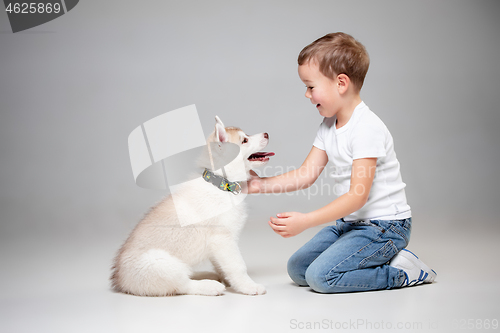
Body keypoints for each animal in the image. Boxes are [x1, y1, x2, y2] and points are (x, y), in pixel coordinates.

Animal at [110, 115, 274, 294]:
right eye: (245, 140)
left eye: (247, 135)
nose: (266, 134)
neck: (221, 184)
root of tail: (119, 279)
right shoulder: (223, 240)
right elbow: (237, 266)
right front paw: (248, 286)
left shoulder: (219, 246)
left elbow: (222, 266)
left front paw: (228, 279)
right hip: (160, 264)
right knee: (183, 284)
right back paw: (209, 285)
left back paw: (206, 275)